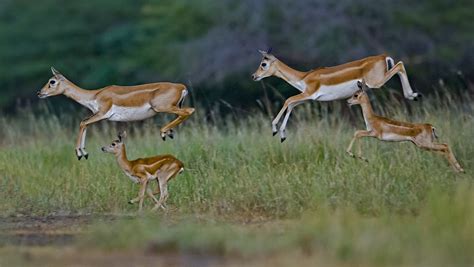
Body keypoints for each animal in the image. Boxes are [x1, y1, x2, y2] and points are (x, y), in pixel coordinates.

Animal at [36, 68, 193, 160]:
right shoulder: (97, 115)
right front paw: (84, 153)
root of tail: (181, 86)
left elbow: (83, 122)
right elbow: (85, 123)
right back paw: (169, 132)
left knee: (189, 111)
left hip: (162, 107)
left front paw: (80, 153)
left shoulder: (102, 114)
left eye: (52, 81)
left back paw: (163, 133)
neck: (94, 95)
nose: (39, 93)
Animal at [252, 49, 418, 143]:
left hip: (376, 82)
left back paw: (413, 95)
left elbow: (288, 100)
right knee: (400, 65)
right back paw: (413, 95)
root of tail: (383, 56)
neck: (304, 77)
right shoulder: (306, 97)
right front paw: (282, 135)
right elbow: (291, 105)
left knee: (400, 65)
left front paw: (274, 129)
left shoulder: (309, 94)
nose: (254, 76)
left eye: (263, 64)